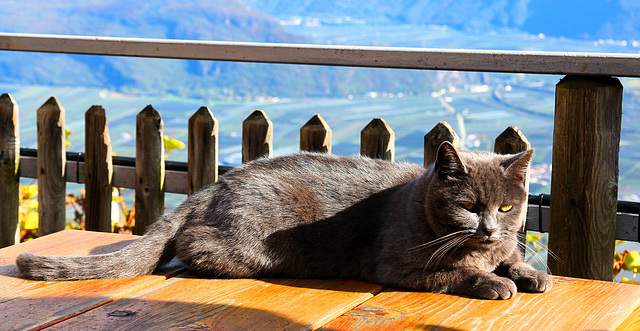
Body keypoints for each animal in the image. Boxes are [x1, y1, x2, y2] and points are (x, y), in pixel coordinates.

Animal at [15, 143, 552, 300]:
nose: (488, 228)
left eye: (507, 209)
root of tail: (215, 184)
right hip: (259, 243)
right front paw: (493, 281)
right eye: (469, 206)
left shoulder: (505, 243)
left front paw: (530, 273)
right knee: (193, 245)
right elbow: (454, 271)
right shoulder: (397, 266)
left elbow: (512, 257)